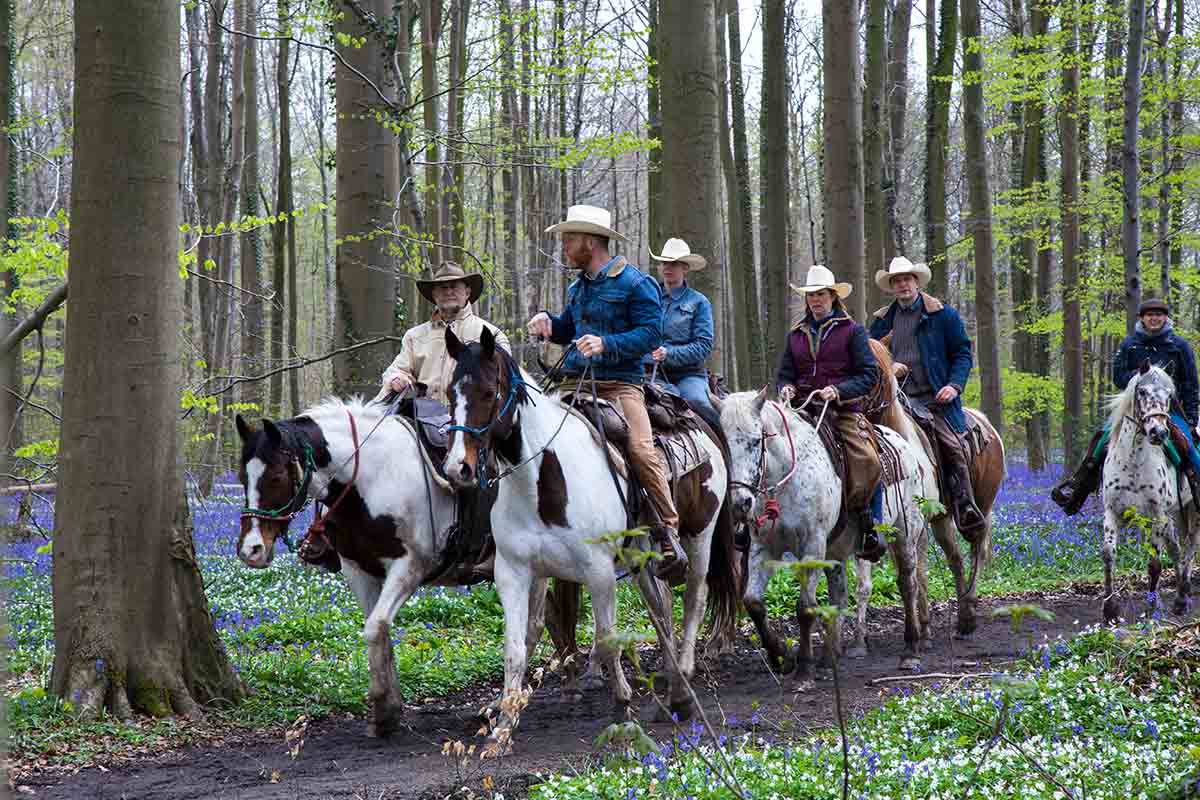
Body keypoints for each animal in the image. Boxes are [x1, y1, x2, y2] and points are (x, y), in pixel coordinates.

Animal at [441, 328, 739, 743]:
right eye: (450, 392)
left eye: (487, 392)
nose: (458, 468)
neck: (542, 481)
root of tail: (701, 419)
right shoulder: (514, 572)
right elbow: (516, 646)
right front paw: (502, 726)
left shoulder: (598, 571)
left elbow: (607, 637)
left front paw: (622, 706)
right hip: (640, 555)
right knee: (661, 607)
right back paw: (671, 687)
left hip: (700, 535)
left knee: (695, 598)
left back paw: (683, 688)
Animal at [715, 388, 931, 676]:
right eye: (725, 445)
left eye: (754, 441)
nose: (740, 503)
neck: (785, 479)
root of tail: (904, 446)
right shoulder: (763, 549)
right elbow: (753, 602)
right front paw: (781, 656)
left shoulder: (813, 545)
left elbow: (805, 607)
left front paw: (804, 668)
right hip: (836, 552)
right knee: (839, 595)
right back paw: (830, 655)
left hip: (905, 532)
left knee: (908, 583)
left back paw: (911, 649)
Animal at [868, 338, 1008, 638]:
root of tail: (985, 422)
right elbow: (908, 572)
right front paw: (921, 624)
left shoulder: (916, 523)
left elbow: (917, 572)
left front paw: (922, 628)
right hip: (942, 518)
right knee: (955, 558)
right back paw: (963, 612)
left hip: (981, 506)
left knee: (976, 549)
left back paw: (968, 612)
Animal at [1099, 364, 1195, 623]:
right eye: (1141, 391)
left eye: (1169, 395)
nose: (1158, 432)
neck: (1133, 461)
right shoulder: (1112, 512)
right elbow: (1108, 555)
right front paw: (1110, 610)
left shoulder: (1157, 515)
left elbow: (1154, 564)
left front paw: (1151, 609)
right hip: (1175, 515)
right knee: (1177, 549)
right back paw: (1181, 595)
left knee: (1190, 546)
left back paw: (1182, 598)